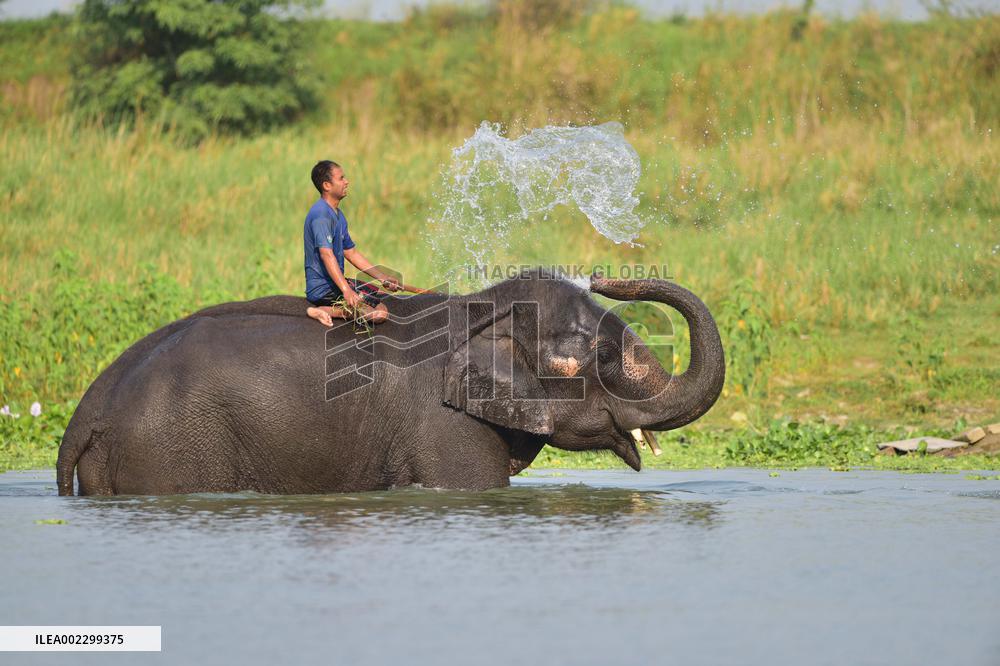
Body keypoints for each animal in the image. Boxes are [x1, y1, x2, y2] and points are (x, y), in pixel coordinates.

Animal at [56, 270, 725, 496]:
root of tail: (86, 414)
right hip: (169, 451)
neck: (482, 306)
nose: (604, 274)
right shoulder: (445, 423)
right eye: (604, 357)